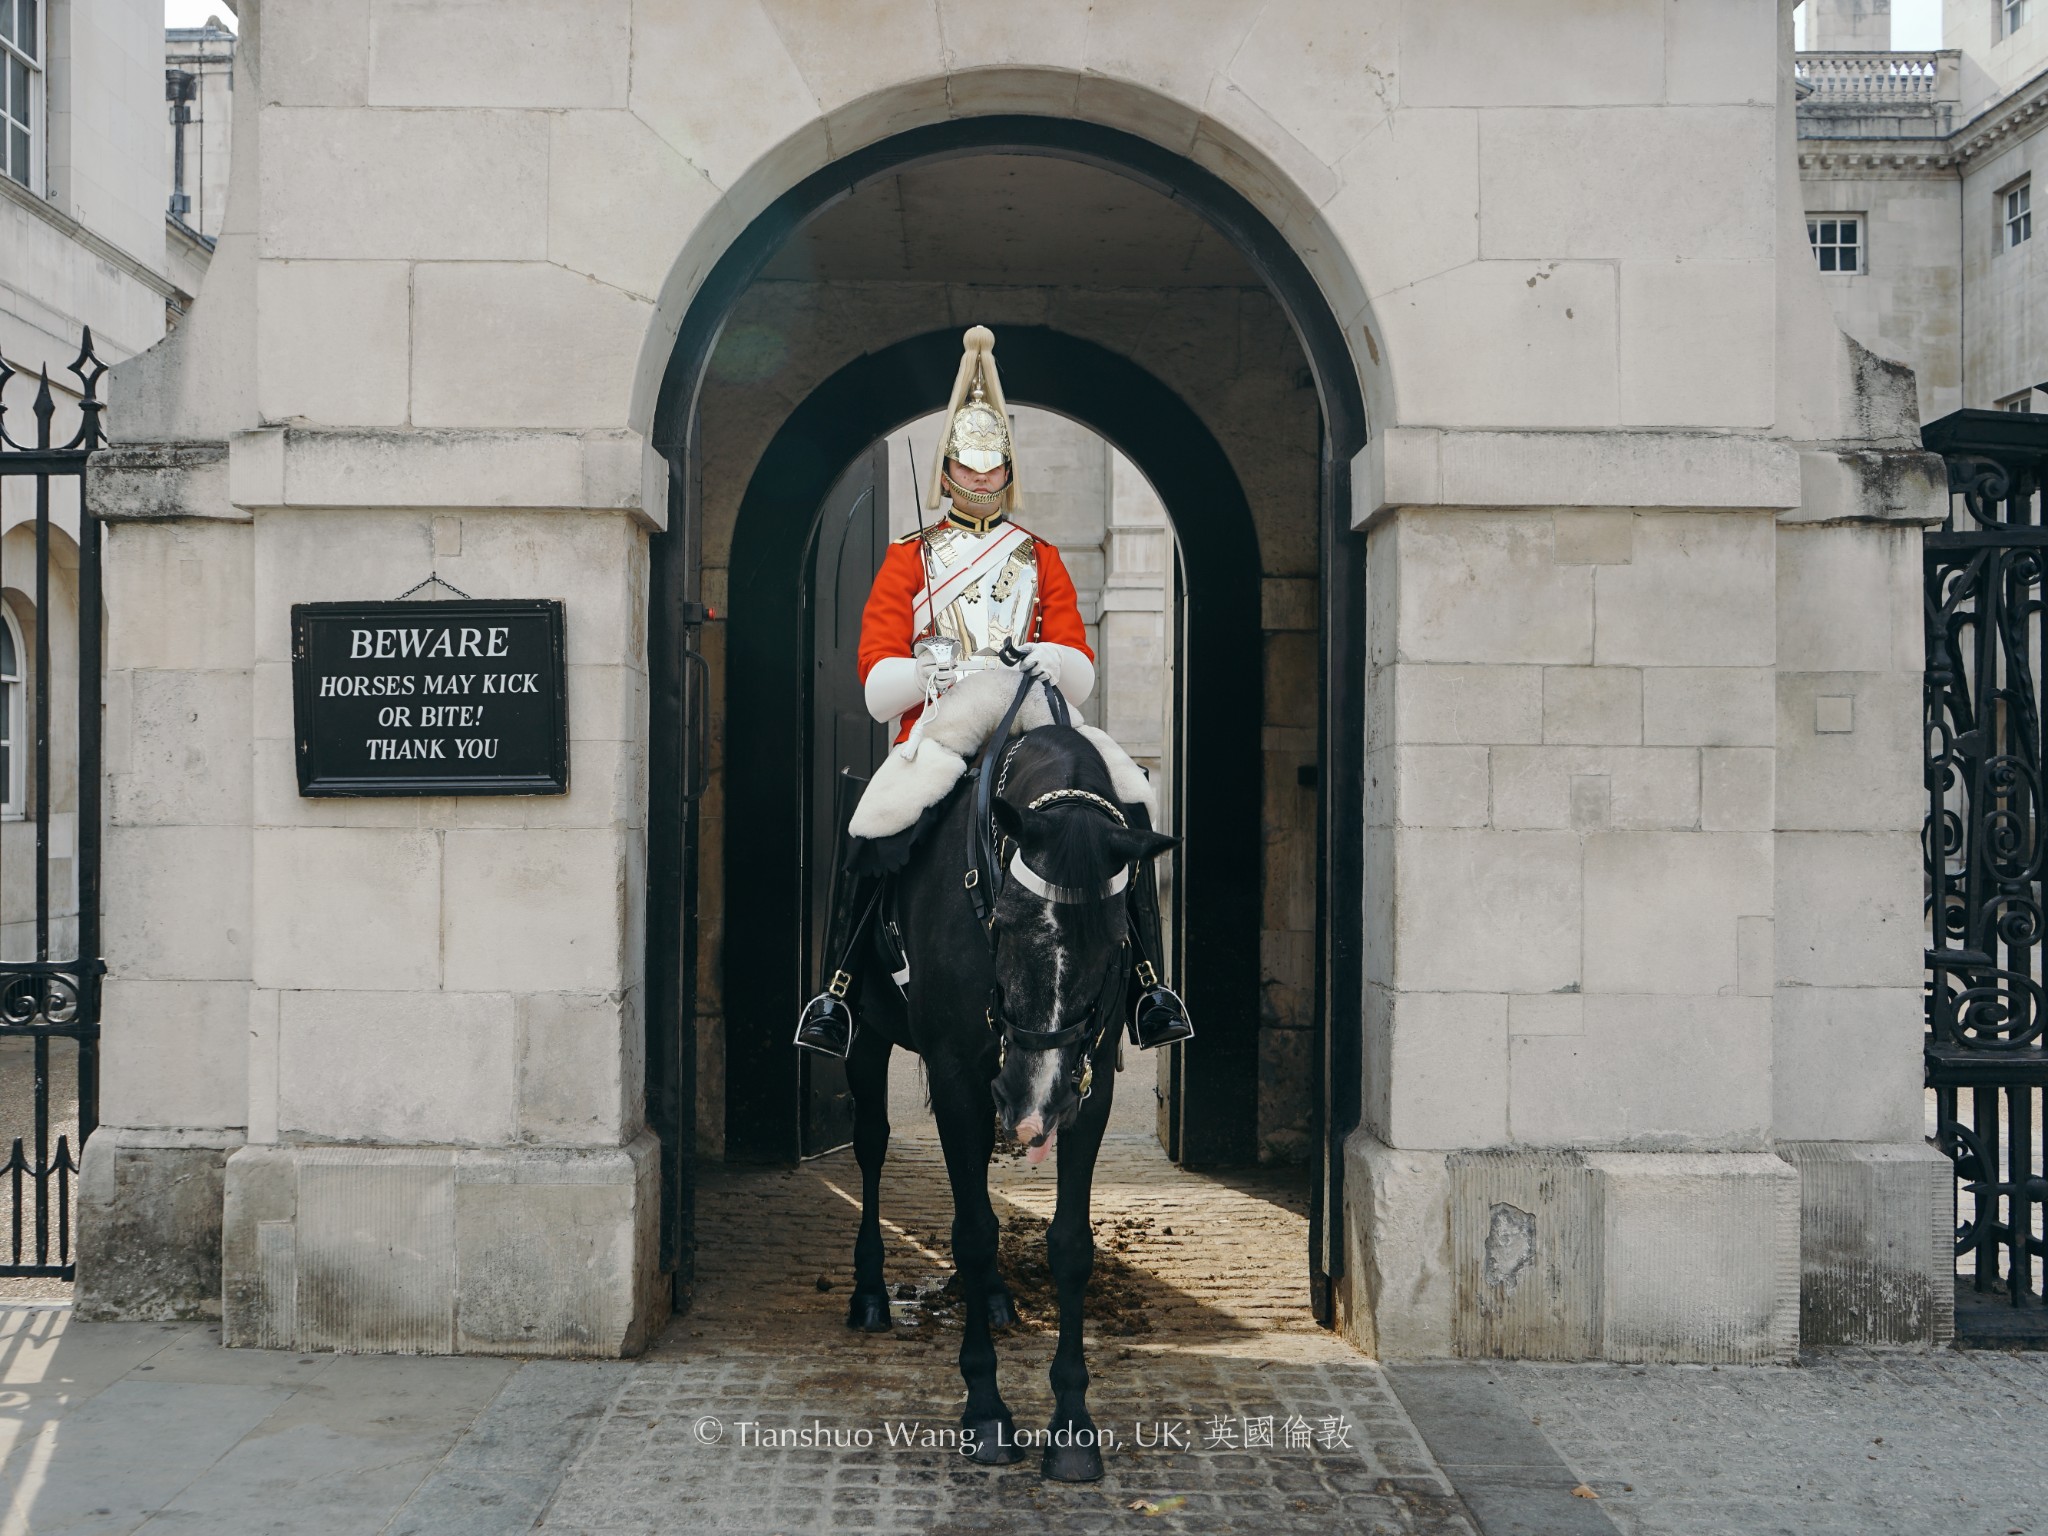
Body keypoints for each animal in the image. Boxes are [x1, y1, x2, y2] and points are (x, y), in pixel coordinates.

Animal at [839, 716, 1179, 1482]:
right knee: (871, 1144)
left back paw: (994, 1298)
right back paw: (870, 1291)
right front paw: (987, 1411)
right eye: (1009, 918)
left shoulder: (1089, 1085)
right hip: (868, 1037)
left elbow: (1070, 1243)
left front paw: (1073, 1424)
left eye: (1117, 935)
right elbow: (972, 1233)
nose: (1032, 1098)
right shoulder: (958, 1074)